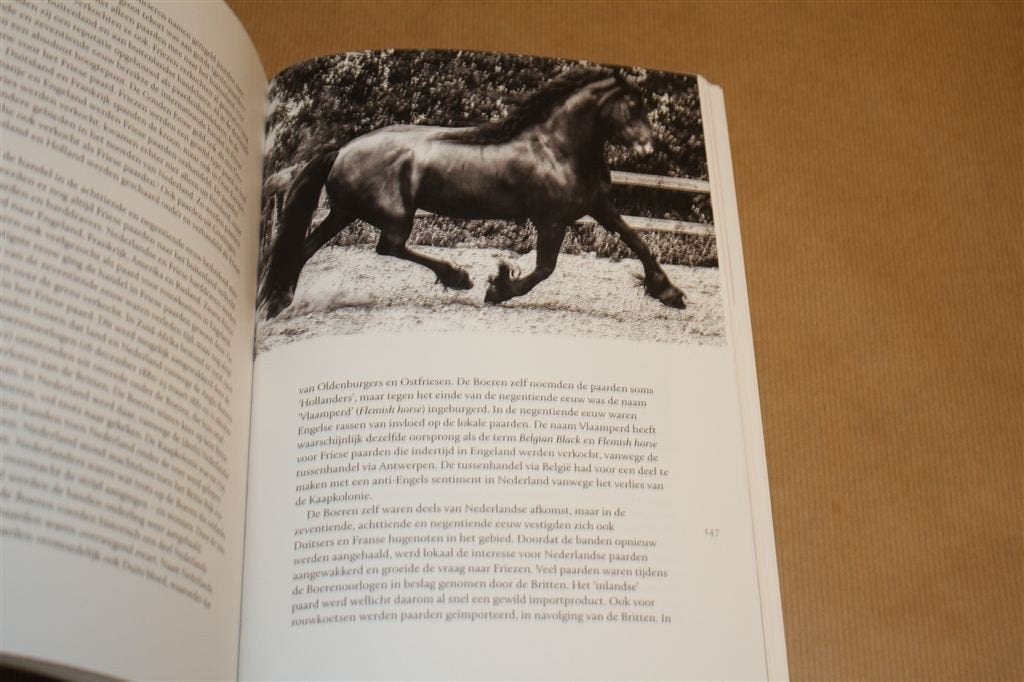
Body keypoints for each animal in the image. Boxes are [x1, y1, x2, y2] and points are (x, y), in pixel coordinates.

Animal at [258, 68, 688, 319]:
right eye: (631, 105)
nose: (648, 147)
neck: (556, 147)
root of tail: (343, 149)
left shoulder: (597, 205)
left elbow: (637, 240)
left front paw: (670, 292)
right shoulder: (551, 220)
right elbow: (544, 268)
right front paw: (498, 288)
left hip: (343, 212)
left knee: (305, 249)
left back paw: (279, 301)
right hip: (394, 213)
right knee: (388, 246)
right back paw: (457, 276)